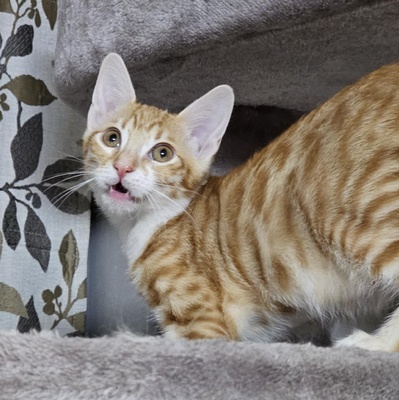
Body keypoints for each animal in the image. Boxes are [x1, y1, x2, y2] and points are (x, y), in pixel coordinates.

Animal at [83, 53, 399, 350]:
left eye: (162, 153)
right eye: (112, 138)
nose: (123, 167)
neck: (146, 224)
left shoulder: (204, 323)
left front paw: (126, 339)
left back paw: (369, 343)